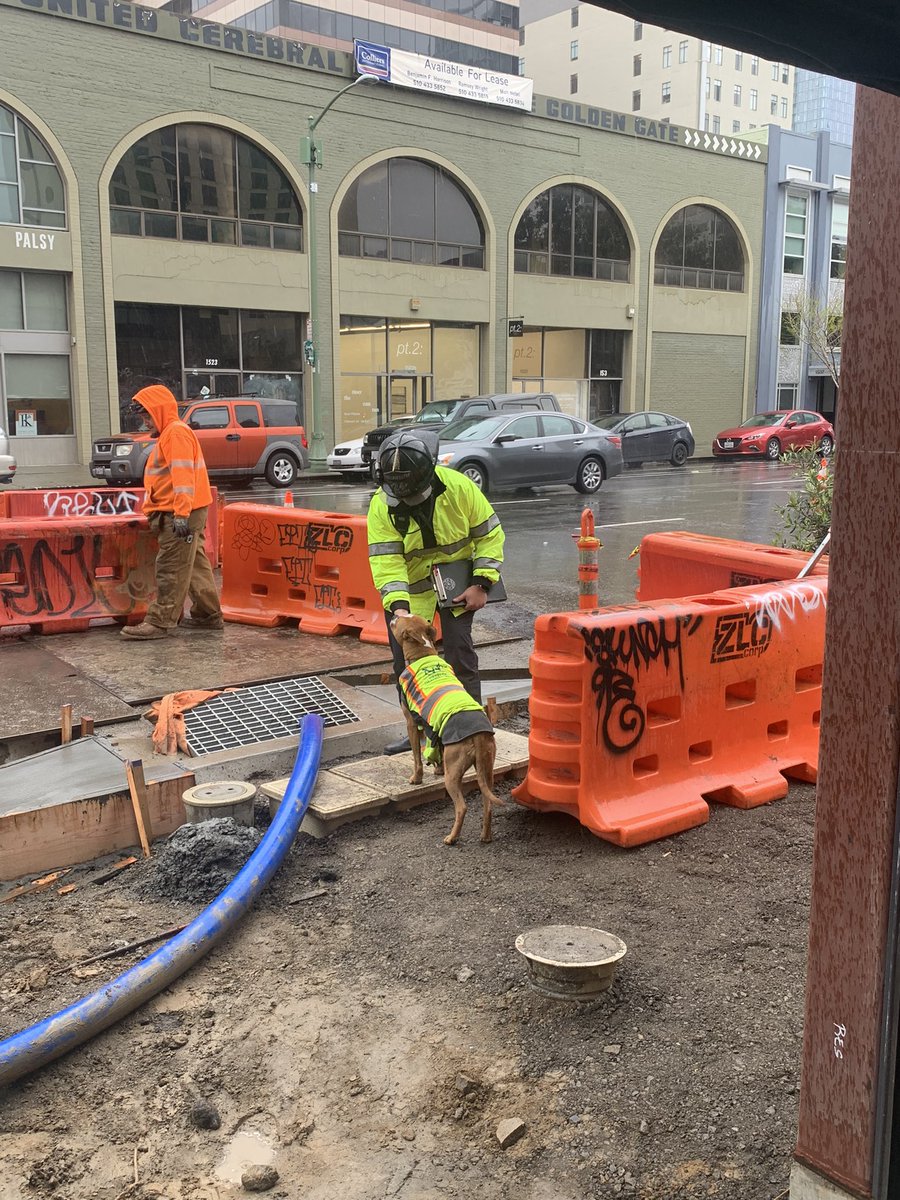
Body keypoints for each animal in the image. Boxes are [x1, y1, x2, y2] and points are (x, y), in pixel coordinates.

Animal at [391, 614, 504, 849]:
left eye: (401, 619)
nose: (395, 614)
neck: (422, 655)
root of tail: (478, 736)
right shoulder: (436, 731)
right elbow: (436, 750)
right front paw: (437, 769)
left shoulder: (411, 723)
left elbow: (416, 756)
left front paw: (416, 778)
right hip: (486, 769)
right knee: (488, 803)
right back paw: (485, 836)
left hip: (454, 774)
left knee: (462, 807)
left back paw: (452, 838)